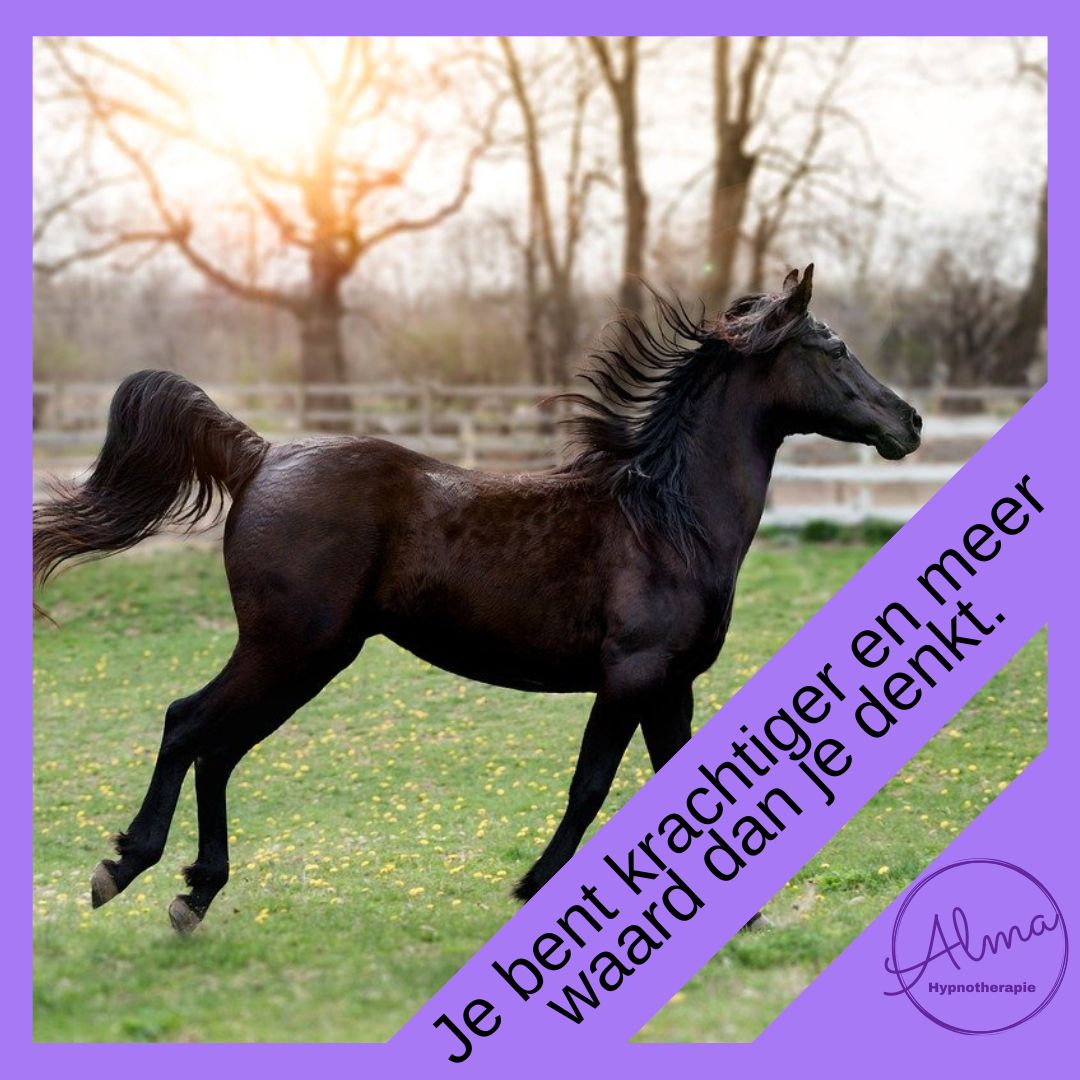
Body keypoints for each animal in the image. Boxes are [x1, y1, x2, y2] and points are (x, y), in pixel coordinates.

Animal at [33, 265, 922, 934]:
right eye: (834, 347)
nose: (909, 421)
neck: (668, 521)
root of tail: (260, 456)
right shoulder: (632, 676)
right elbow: (589, 787)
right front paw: (531, 887)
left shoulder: (673, 683)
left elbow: (676, 781)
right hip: (291, 647)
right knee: (190, 724)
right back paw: (125, 868)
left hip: (301, 656)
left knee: (218, 746)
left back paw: (194, 892)